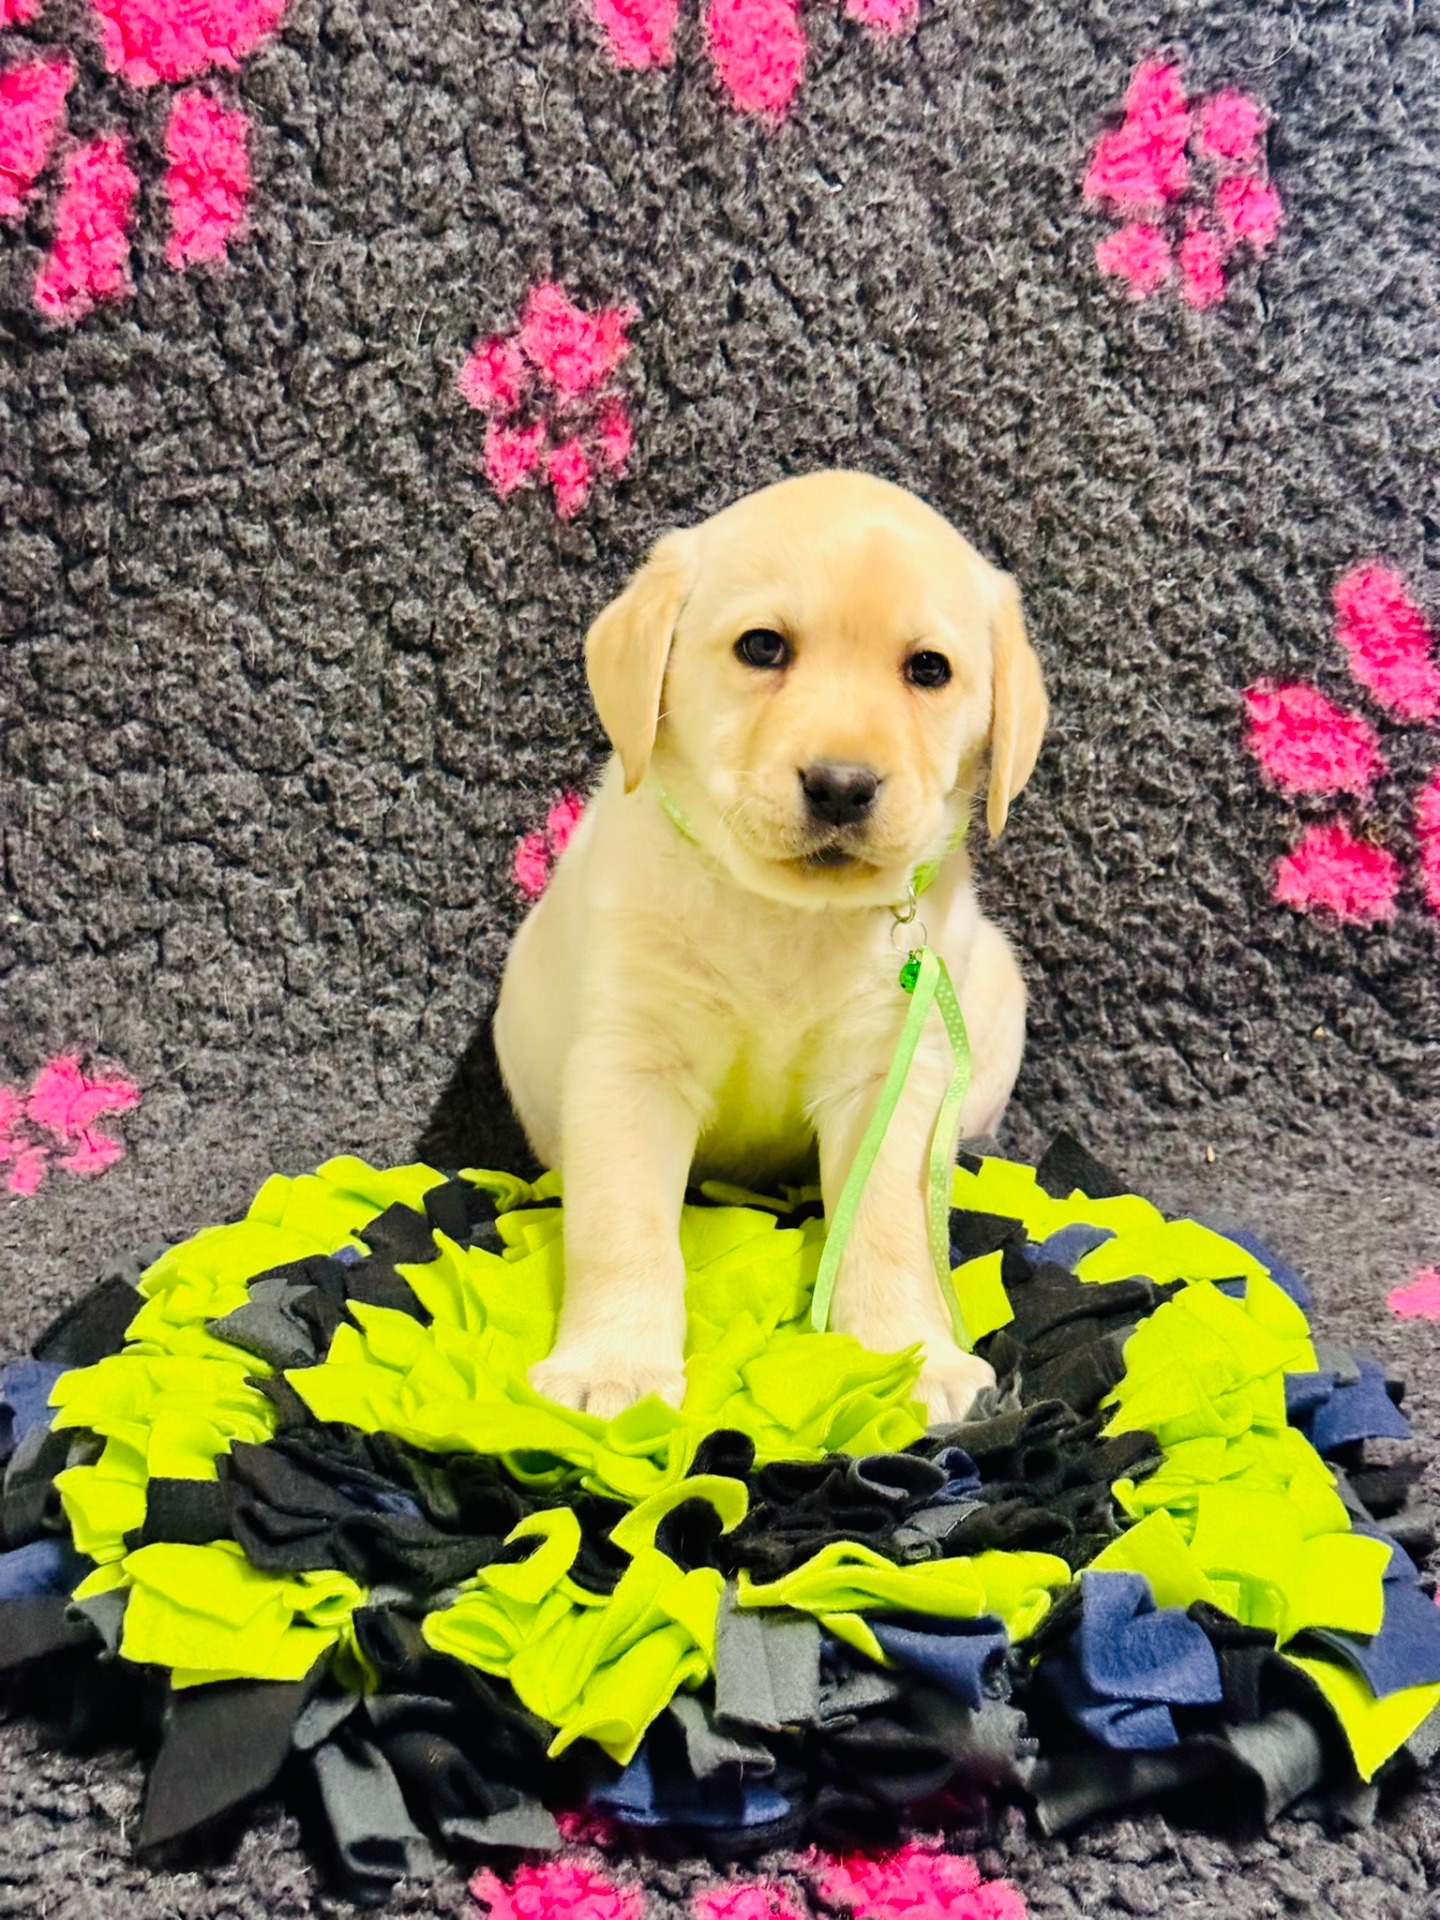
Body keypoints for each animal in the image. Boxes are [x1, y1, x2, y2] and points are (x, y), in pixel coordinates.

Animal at [494, 470, 1048, 1426]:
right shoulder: (630, 1063)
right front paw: (614, 1366)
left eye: (928, 670)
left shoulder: (889, 1074)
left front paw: (915, 1358)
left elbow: (889, 1229)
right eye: (762, 648)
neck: (788, 914)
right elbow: (625, 1229)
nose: (842, 785)